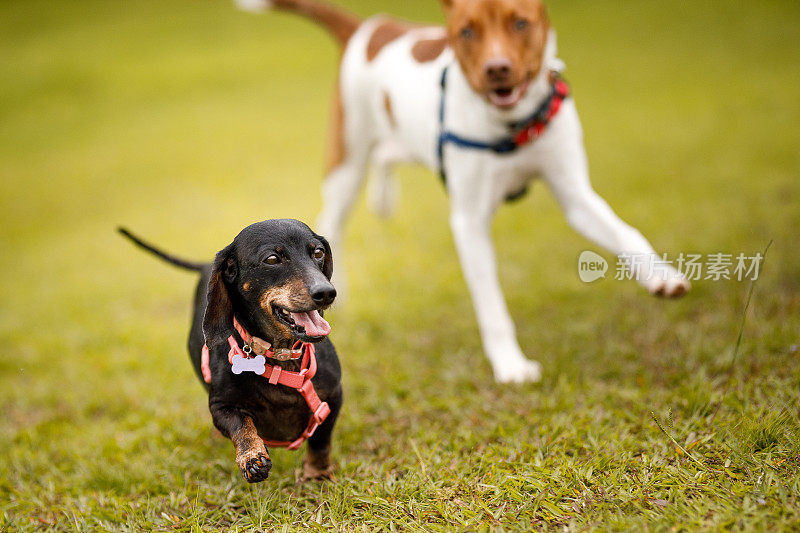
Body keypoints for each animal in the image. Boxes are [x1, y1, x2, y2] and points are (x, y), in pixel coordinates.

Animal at [234, 0, 692, 382]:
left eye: (520, 23)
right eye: (467, 32)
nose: (497, 68)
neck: (511, 127)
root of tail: (371, 27)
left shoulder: (576, 196)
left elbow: (624, 231)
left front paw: (661, 275)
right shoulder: (470, 222)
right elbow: (491, 303)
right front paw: (510, 364)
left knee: (388, 156)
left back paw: (383, 197)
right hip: (347, 156)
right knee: (335, 217)